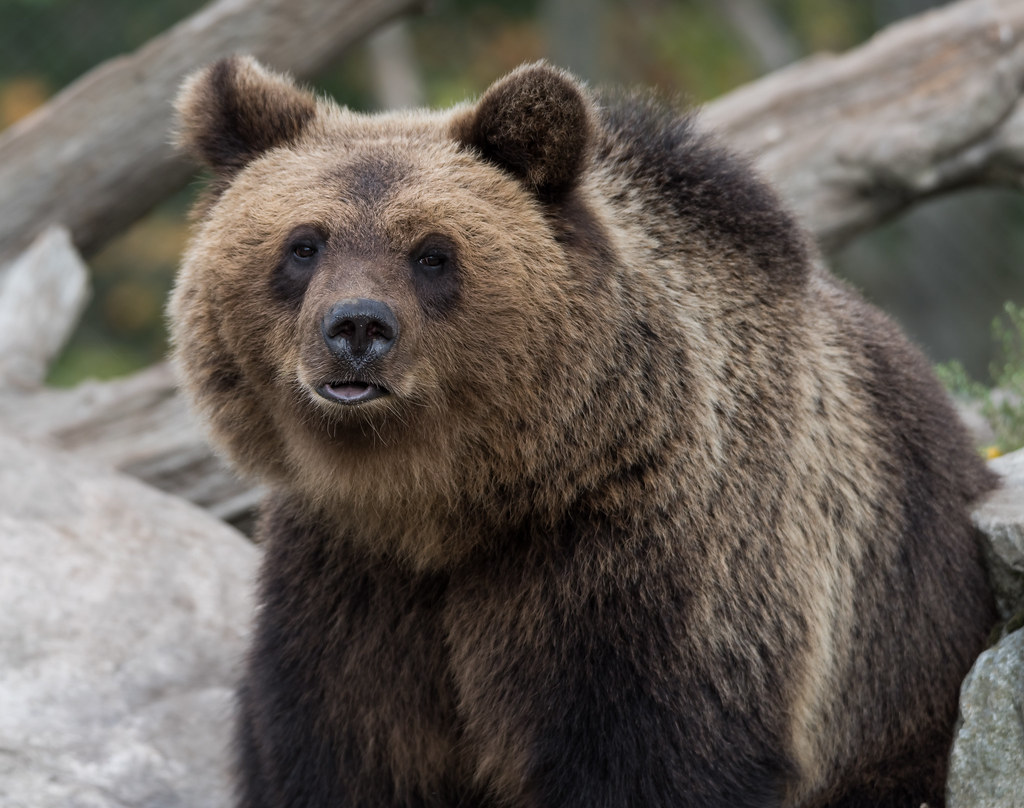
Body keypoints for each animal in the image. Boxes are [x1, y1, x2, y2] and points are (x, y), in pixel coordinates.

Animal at [170, 56, 997, 808]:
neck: (444, 502)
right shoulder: (347, 579)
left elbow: (656, 757)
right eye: (304, 244)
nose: (357, 329)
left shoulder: (634, 565)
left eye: (432, 253)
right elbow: (339, 749)